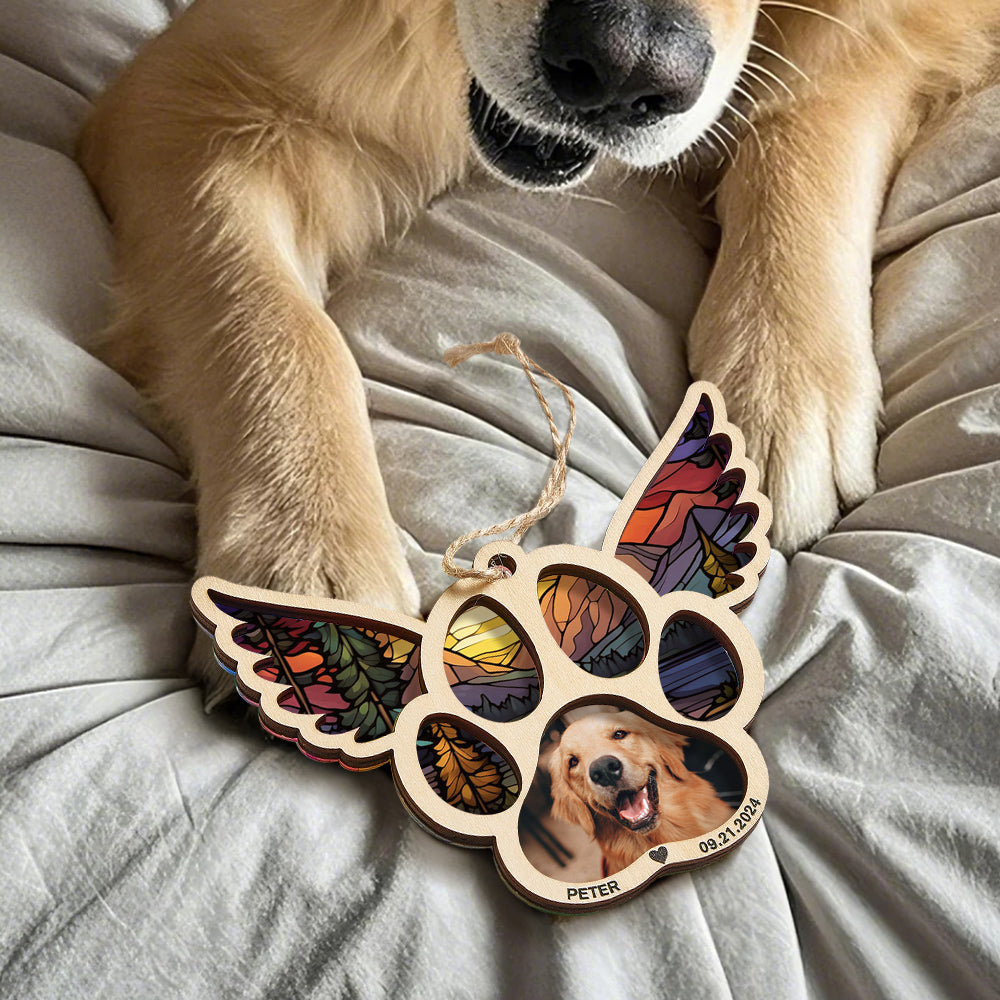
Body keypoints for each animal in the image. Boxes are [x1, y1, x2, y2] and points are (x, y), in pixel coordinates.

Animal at [78, 0, 1000, 704]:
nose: (626, 69)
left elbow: (811, 102)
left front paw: (786, 377)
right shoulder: (196, 94)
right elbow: (274, 320)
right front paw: (304, 560)